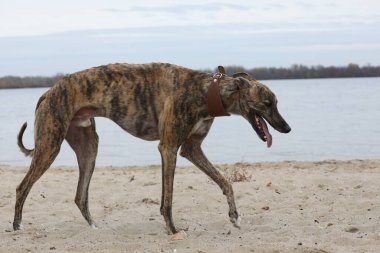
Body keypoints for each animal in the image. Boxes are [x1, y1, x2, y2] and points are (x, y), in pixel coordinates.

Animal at [13, 62, 290, 233]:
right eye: (267, 103)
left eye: (276, 103)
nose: (287, 128)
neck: (206, 90)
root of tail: (49, 92)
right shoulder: (168, 147)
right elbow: (167, 199)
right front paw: (172, 230)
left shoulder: (191, 149)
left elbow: (225, 182)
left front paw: (234, 216)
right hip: (49, 145)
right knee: (22, 187)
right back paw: (17, 228)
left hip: (88, 148)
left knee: (80, 196)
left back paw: (94, 229)